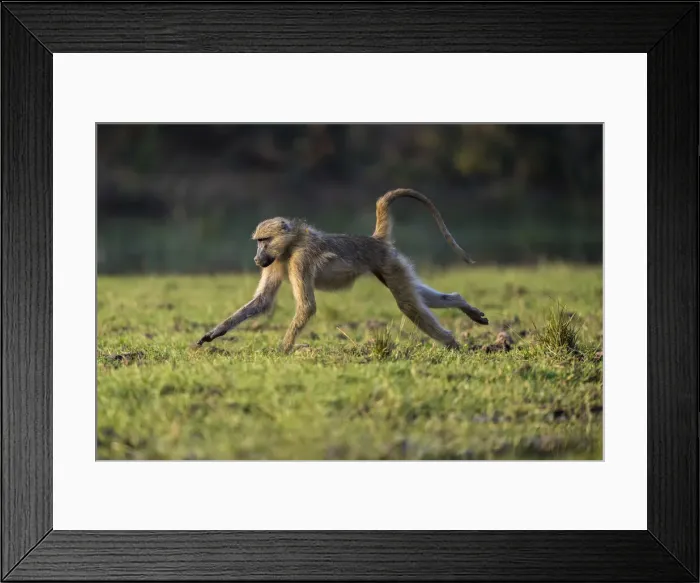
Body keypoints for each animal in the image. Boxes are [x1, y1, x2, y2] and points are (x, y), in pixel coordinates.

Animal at [197, 188, 488, 353]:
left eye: (263, 240)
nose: (257, 259)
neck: (290, 245)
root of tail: (374, 240)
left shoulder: (299, 260)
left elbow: (306, 307)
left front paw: (283, 350)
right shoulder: (276, 262)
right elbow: (262, 301)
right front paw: (214, 334)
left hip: (387, 262)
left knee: (408, 304)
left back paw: (453, 344)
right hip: (390, 264)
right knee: (417, 296)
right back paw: (463, 308)